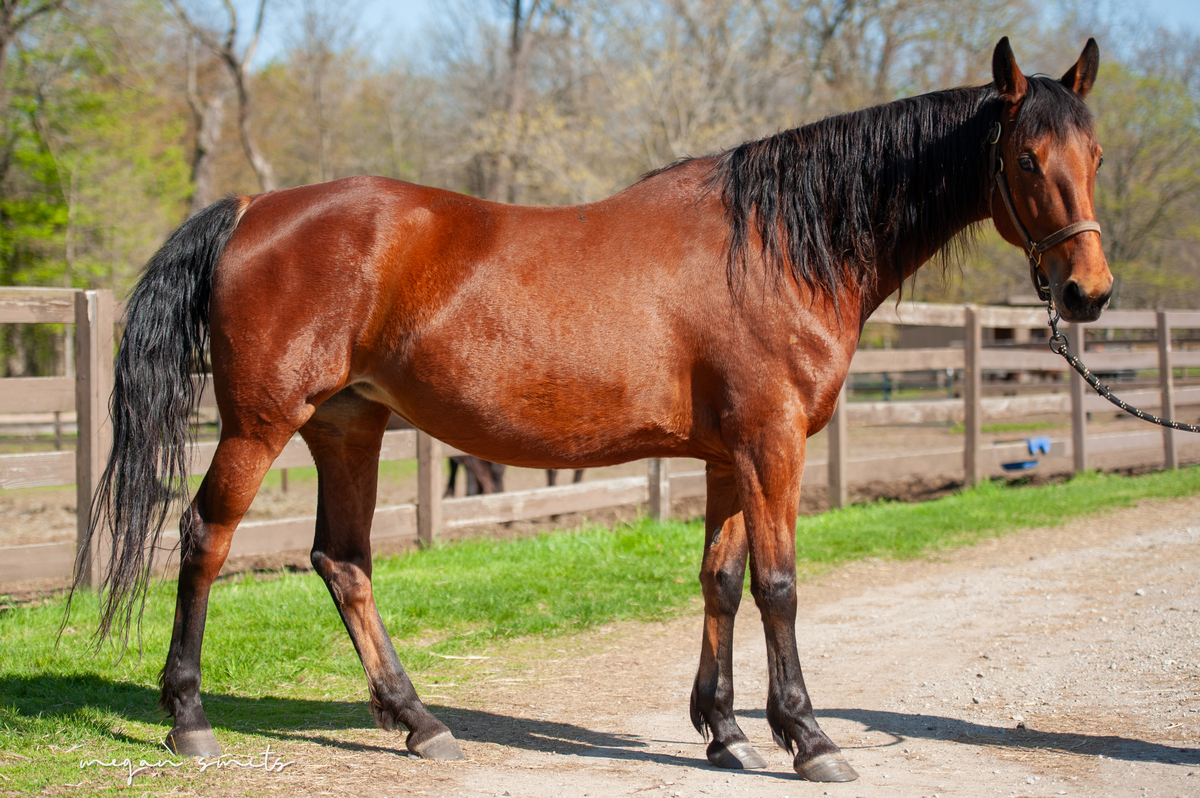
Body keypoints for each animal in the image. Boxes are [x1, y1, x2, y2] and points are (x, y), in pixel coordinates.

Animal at [74, 37, 1110, 781]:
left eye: (1095, 153)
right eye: (1026, 158)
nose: (1089, 292)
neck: (778, 247)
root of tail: (255, 209)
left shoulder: (727, 456)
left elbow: (719, 581)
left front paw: (725, 731)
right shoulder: (770, 445)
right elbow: (777, 586)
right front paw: (808, 736)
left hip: (348, 425)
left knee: (343, 561)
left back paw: (419, 722)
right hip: (262, 424)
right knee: (205, 538)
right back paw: (190, 718)